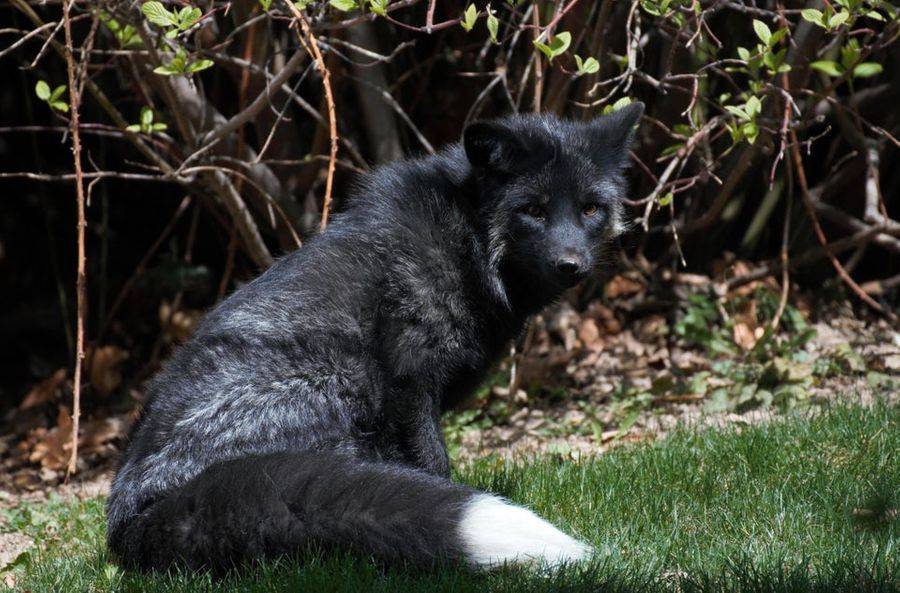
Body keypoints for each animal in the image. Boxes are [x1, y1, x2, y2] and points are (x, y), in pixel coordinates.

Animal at [106, 103, 644, 572]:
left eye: (590, 209)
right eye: (533, 210)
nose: (572, 265)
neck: (465, 236)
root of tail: (131, 518)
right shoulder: (409, 385)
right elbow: (433, 467)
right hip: (339, 387)